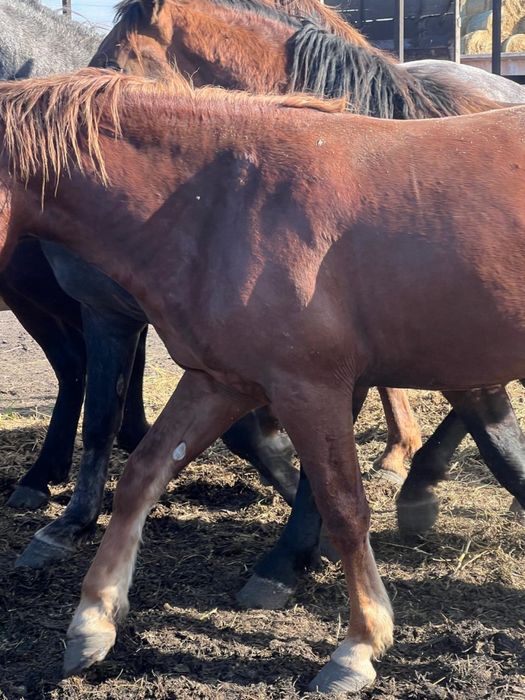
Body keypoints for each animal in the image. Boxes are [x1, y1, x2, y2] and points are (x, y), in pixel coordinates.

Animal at [0, 68, 524, 694]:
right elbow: (141, 475)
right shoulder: (219, 381)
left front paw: (359, 645)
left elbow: (344, 508)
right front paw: (93, 620)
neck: (219, 203)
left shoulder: (309, 388)